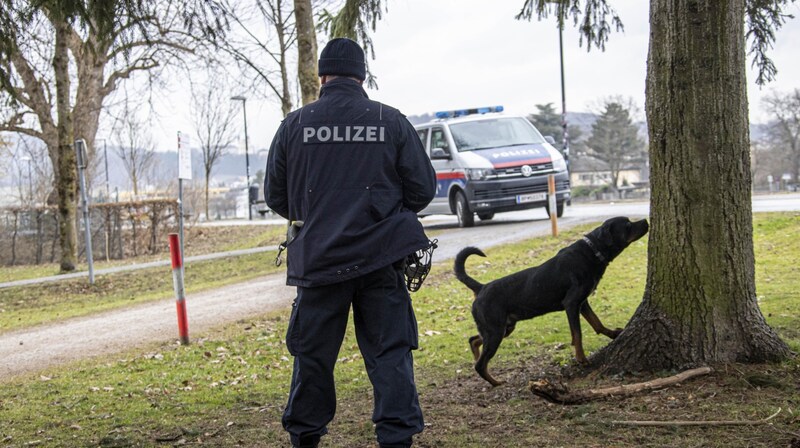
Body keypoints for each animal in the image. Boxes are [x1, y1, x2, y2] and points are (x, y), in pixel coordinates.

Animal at [454, 216, 648, 384]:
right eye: (628, 225)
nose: (646, 221)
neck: (593, 251)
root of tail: (481, 287)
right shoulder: (571, 304)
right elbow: (577, 334)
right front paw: (582, 359)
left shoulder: (583, 303)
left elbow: (597, 323)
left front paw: (614, 334)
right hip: (496, 331)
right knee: (480, 364)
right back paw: (496, 382)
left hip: (503, 328)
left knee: (473, 340)